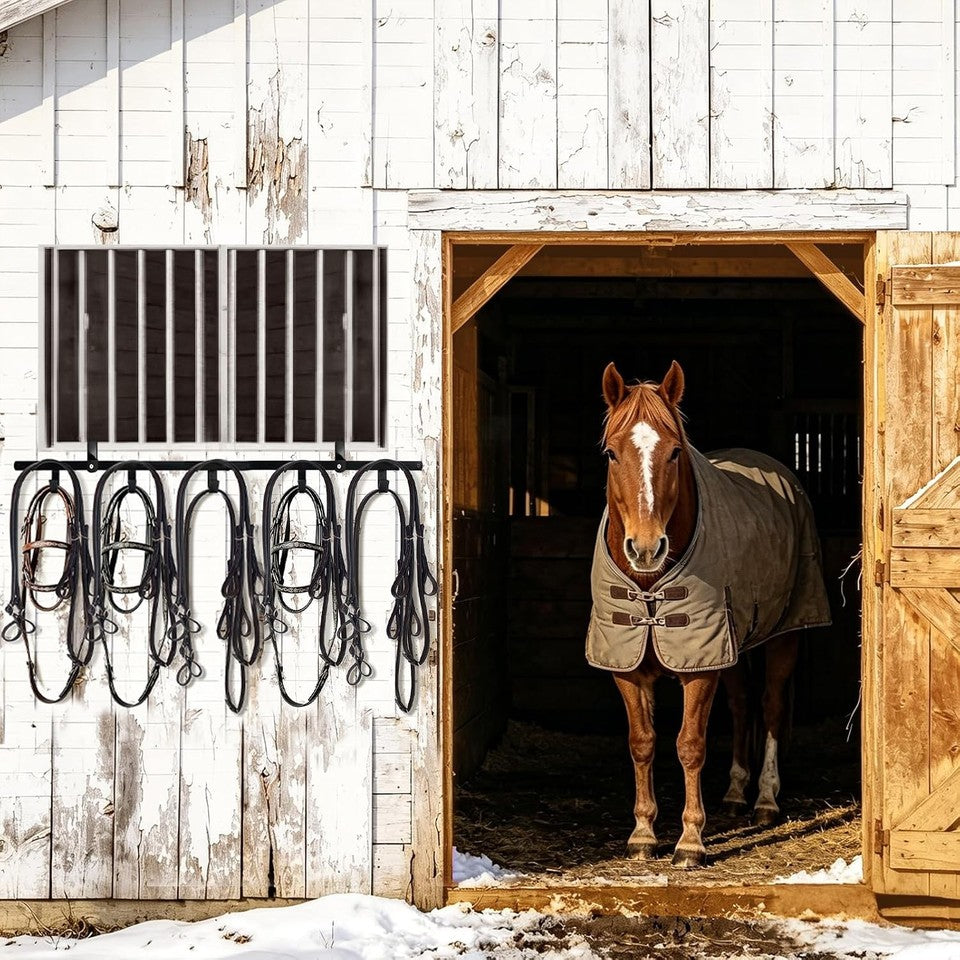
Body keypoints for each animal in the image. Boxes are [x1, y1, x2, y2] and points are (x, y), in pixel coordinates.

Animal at [586, 360, 831, 868]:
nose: (645, 547)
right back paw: (737, 793)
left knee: (771, 706)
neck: (649, 586)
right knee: (741, 705)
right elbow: (642, 743)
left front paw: (690, 841)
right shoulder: (628, 663)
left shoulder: (699, 663)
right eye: (611, 453)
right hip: (732, 648)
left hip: (782, 636)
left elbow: (690, 745)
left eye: (675, 453)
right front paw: (643, 834)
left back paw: (765, 799)